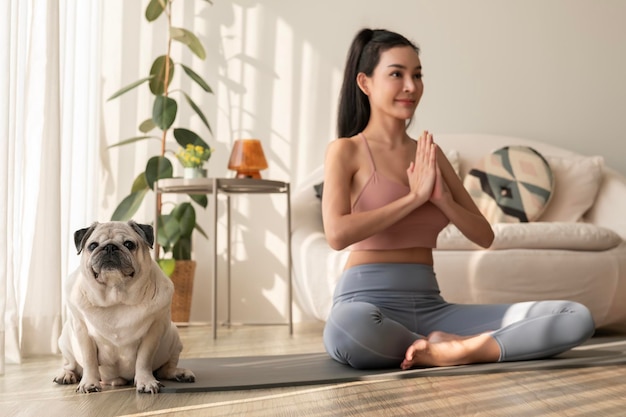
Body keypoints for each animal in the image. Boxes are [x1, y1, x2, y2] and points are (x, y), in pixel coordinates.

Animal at [53, 221, 195, 394]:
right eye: (93, 246)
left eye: (129, 244)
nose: (109, 247)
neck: (116, 296)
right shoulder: (82, 331)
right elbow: (89, 360)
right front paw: (89, 383)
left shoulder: (153, 331)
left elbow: (144, 360)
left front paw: (146, 381)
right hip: (65, 340)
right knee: (71, 364)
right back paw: (66, 375)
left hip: (174, 338)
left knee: (165, 369)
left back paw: (180, 373)